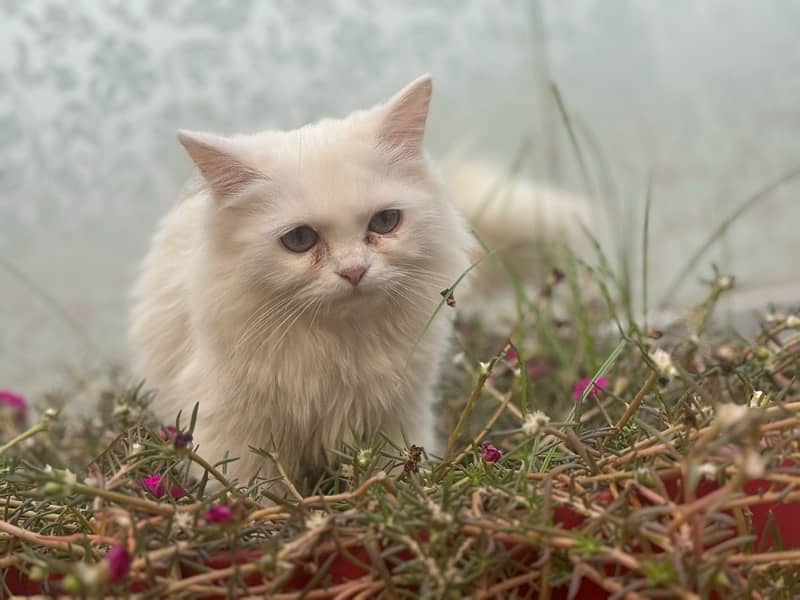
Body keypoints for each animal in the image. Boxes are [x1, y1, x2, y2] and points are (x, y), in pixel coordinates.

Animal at [130, 75, 592, 488]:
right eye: (300, 240)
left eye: (385, 222)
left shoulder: (399, 415)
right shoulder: (233, 432)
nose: (354, 271)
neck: (339, 347)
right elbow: (254, 494)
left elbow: (399, 468)